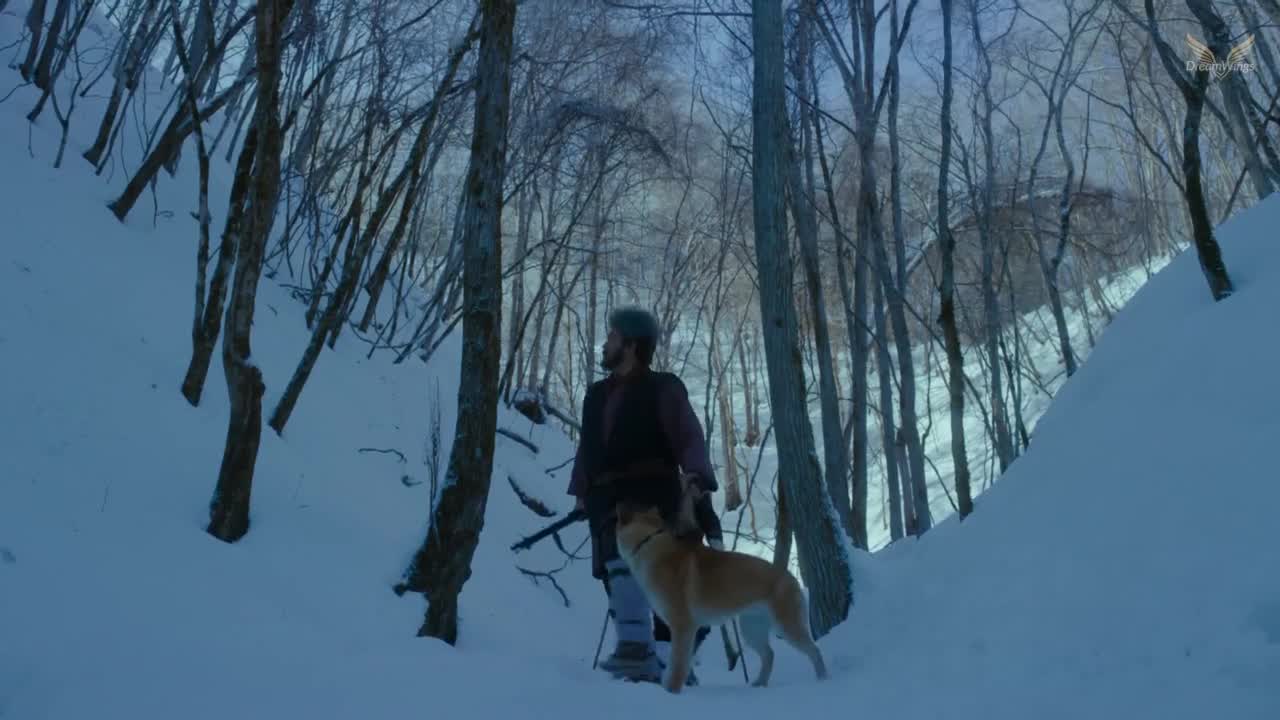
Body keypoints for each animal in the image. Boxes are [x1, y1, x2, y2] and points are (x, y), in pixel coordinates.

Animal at [615, 504, 828, 693]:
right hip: (752, 630)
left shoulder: (683, 627)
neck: (648, 542)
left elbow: (678, 666)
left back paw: (822, 680)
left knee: (814, 651)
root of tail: (790, 577)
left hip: (787, 627)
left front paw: (671, 692)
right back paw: (760, 683)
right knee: (769, 655)